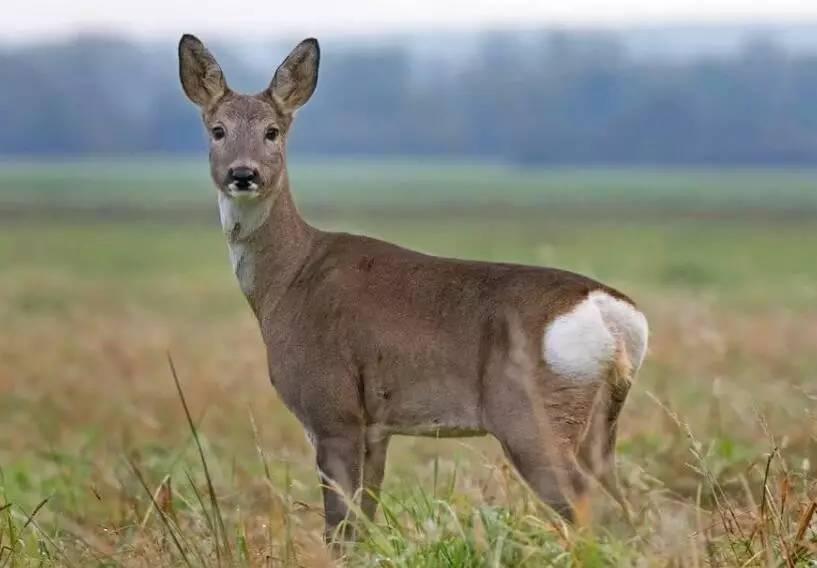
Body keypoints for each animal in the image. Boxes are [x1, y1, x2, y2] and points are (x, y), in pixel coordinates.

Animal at [178, 34, 649, 541]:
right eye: (218, 130)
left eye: (272, 131)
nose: (243, 174)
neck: (286, 281)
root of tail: (611, 313)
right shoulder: (375, 428)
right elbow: (362, 522)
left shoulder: (333, 411)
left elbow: (338, 528)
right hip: (600, 422)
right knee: (625, 503)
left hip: (532, 416)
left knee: (588, 503)